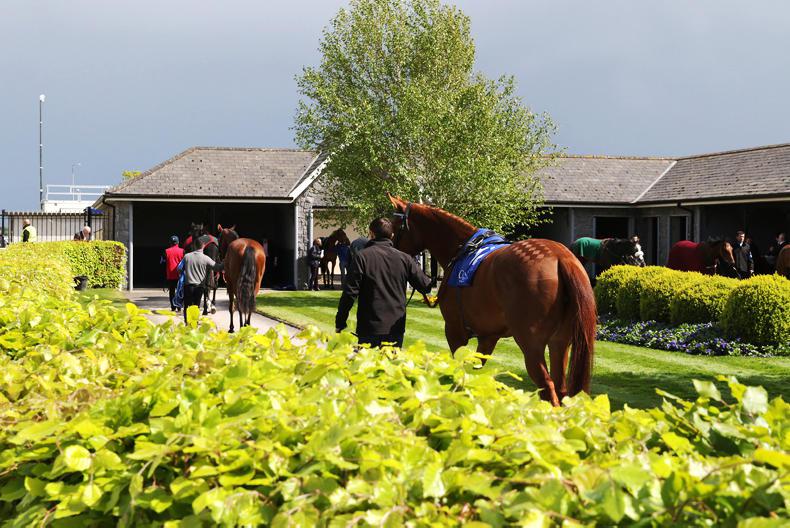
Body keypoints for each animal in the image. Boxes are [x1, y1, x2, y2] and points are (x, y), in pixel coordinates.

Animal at [388, 195, 596, 407]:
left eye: (394, 226)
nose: (391, 248)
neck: (462, 250)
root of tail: (560, 257)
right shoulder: (488, 337)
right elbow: (475, 371)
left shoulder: (454, 331)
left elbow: (460, 370)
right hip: (560, 342)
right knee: (561, 388)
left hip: (531, 345)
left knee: (548, 388)